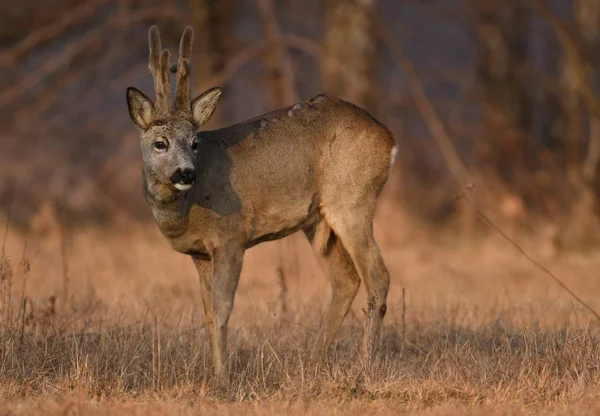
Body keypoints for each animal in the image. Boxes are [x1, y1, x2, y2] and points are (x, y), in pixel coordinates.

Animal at [125, 25, 398, 384]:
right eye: (160, 143)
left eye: (195, 142)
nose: (186, 172)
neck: (186, 210)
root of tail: (389, 139)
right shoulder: (200, 254)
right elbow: (208, 313)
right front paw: (214, 372)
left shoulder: (231, 238)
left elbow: (223, 309)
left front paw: (223, 379)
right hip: (317, 219)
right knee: (346, 279)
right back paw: (313, 362)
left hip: (353, 198)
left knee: (377, 275)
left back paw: (366, 365)